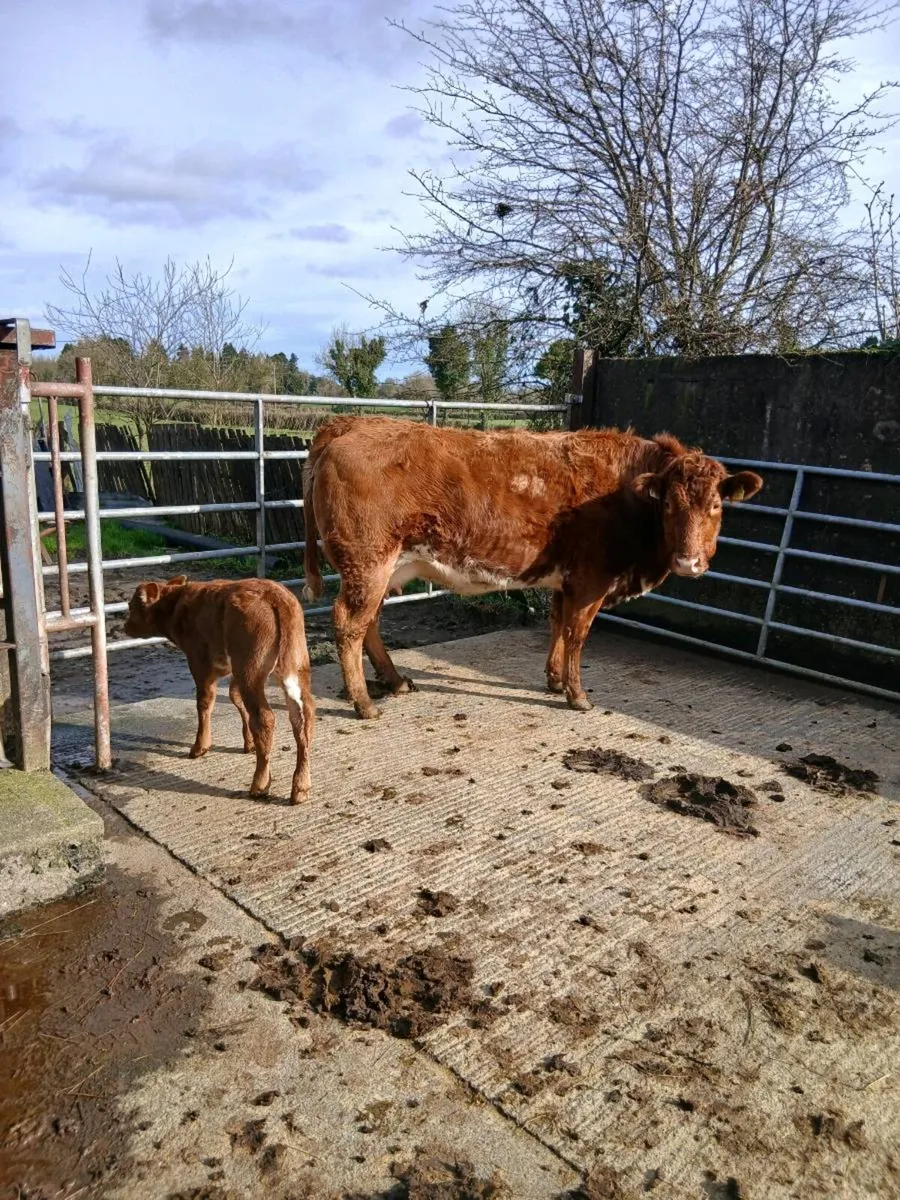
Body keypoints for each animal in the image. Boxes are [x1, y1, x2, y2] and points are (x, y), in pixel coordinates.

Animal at [123, 576, 315, 803]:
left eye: (131, 605)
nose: (125, 626)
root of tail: (275, 595)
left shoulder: (200, 663)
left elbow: (204, 703)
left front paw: (200, 747)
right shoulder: (233, 670)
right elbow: (234, 697)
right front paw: (249, 743)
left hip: (250, 669)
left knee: (264, 717)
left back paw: (260, 785)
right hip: (293, 665)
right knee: (302, 715)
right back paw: (301, 787)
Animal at [301, 417, 762, 719]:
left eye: (716, 505)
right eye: (668, 504)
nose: (688, 561)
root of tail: (351, 422)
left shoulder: (567, 580)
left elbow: (558, 625)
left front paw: (555, 680)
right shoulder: (592, 581)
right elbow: (578, 635)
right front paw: (577, 695)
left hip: (383, 568)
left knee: (371, 623)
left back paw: (394, 681)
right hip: (368, 562)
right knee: (349, 625)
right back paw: (363, 702)